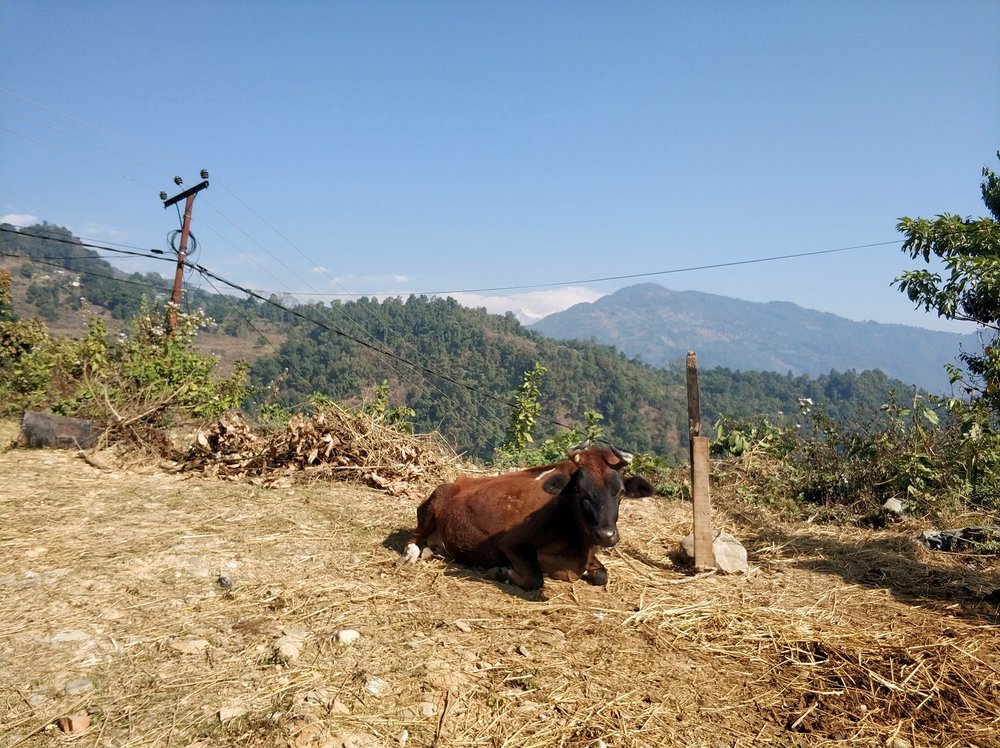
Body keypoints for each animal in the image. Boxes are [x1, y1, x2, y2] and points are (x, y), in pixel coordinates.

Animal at [402, 444, 652, 592]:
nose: (605, 535)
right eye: (579, 489)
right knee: (413, 539)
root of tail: (459, 480)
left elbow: (602, 575)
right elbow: (535, 579)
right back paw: (410, 555)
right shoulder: (510, 544)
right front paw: (501, 572)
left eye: (620, 492)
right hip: (433, 504)